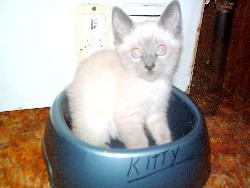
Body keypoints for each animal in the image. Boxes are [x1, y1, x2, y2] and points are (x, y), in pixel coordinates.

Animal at [67, 0, 183, 149]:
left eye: (161, 50)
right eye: (136, 52)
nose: (149, 66)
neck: (150, 85)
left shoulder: (156, 113)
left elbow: (163, 134)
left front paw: (166, 147)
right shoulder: (128, 117)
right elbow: (139, 144)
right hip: (97, 122)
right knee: (88, 139)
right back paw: (103, 147)